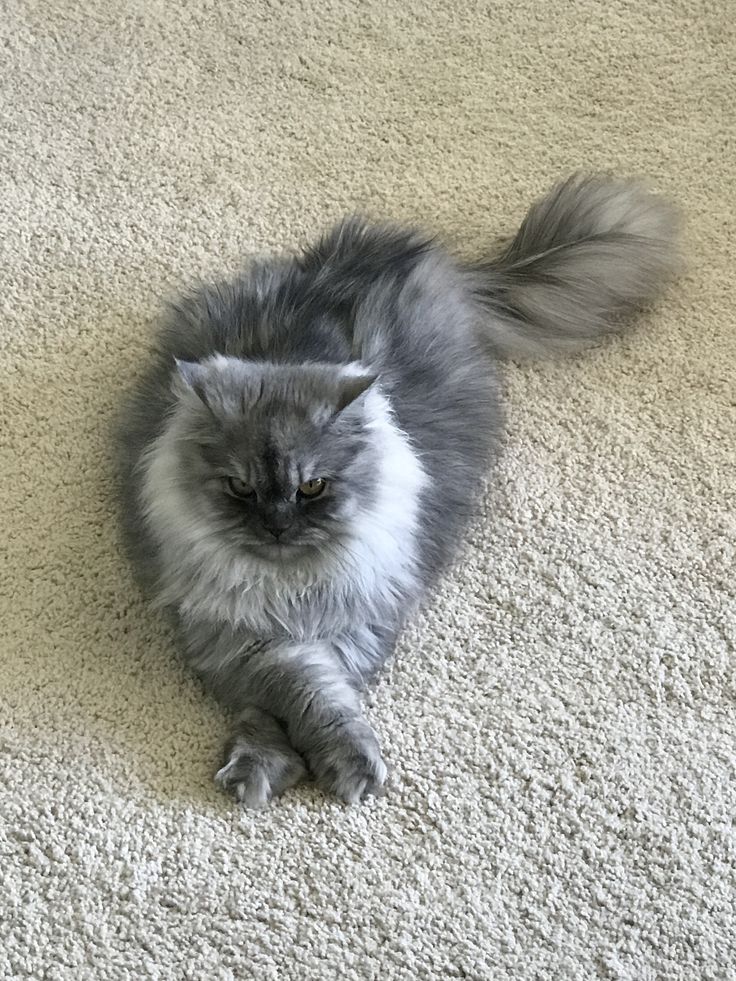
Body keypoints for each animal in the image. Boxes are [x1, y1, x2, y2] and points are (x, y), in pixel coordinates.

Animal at [116, 174, 680, 804]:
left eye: (313, 487)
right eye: (240, 486)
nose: (278, 525)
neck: (291, 591)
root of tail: (426, 259)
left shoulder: (358, 624)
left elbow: (320, 699)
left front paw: (341, 766)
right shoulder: (233, 638)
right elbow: (289, 690)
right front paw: (262, 767)